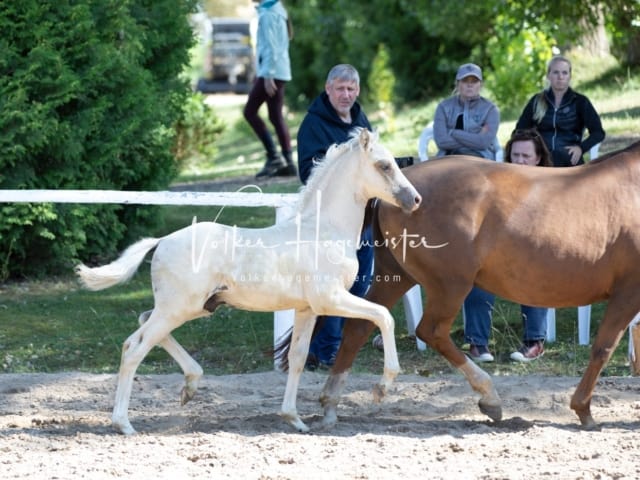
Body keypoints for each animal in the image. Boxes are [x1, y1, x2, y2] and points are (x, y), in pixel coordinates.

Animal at [304, 141, 640, 430]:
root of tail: (402, 191)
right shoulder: (627, 293)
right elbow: (603, 348)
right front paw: (584, 410)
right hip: (451, 284)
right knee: (431, 331)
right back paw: (490, 398)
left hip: (399, 277)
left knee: (359, 326)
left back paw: (331, 404)